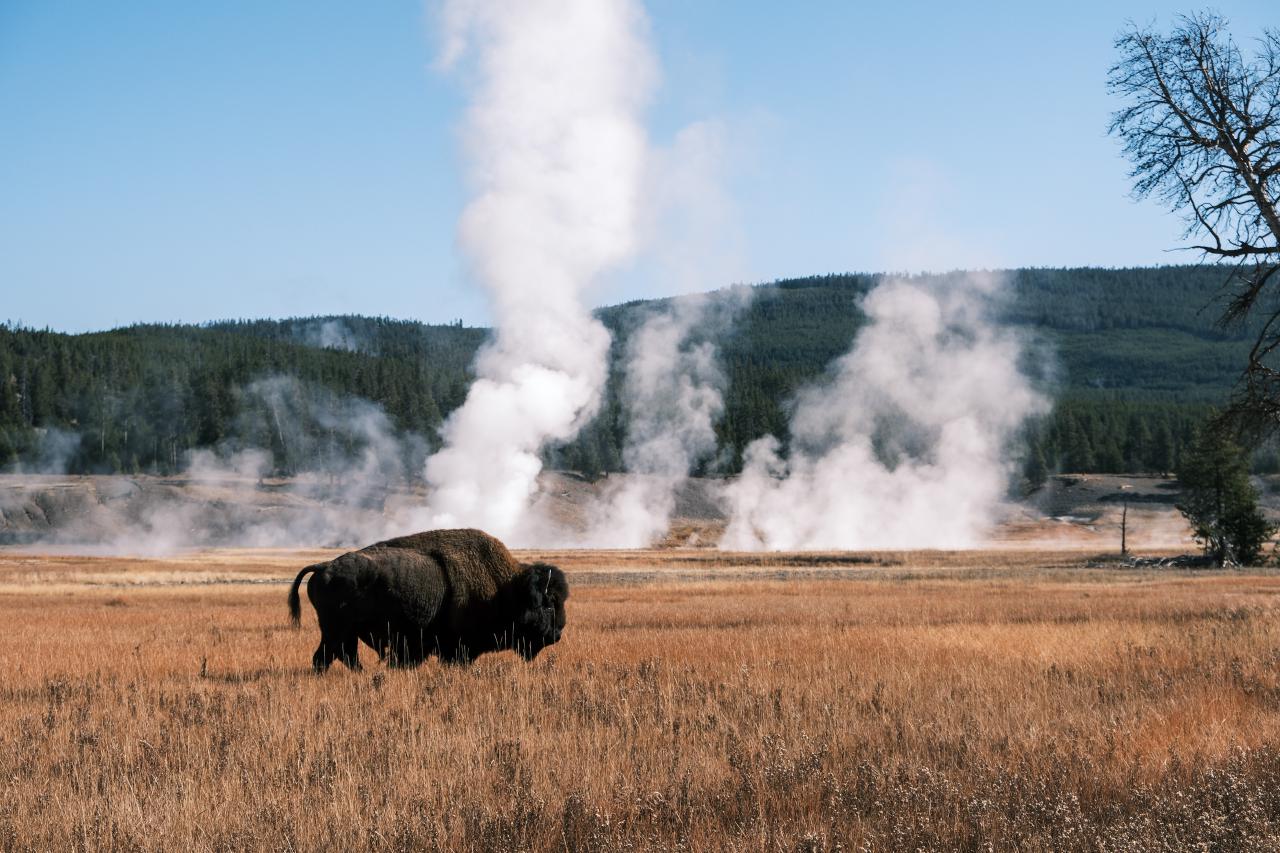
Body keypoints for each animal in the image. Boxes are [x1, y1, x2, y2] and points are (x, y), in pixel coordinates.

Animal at [293, 525, 573, 671]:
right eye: (549, 604)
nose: (558, 634)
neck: (506, 587)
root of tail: (324, 566)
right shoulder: (457, 646)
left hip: (343, 632)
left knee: (340, 656)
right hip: (336, 630)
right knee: (328, 656)